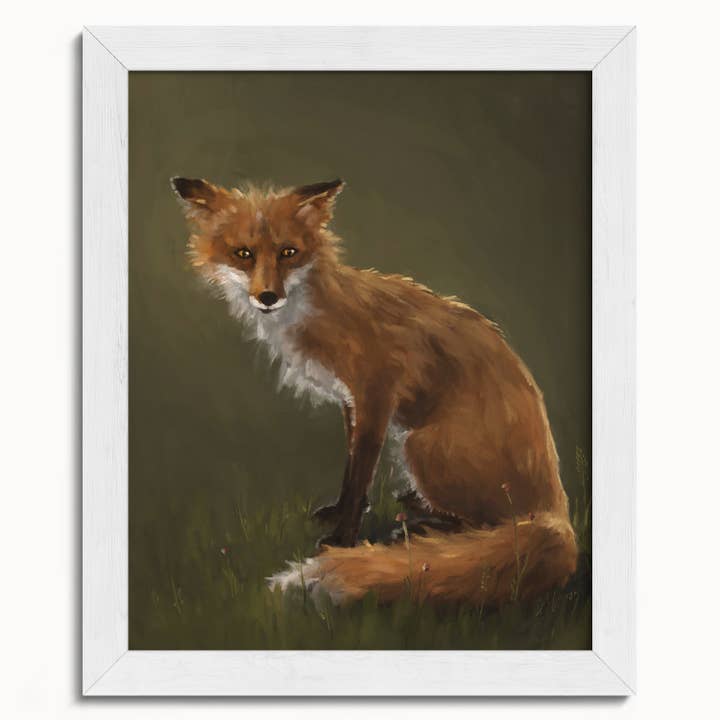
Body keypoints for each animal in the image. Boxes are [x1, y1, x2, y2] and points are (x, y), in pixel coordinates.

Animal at [171, 175, 578, 607]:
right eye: (243, 254)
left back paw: (423, 528)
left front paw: (341, 539)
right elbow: (351, 471)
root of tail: (556, 508)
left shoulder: (376, 394)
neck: (318, 310)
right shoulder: (351, 400)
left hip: (419, 446)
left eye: (288, 253)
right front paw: (338, 513)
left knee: (492, 526)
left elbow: (360, 476)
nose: (268, 297)